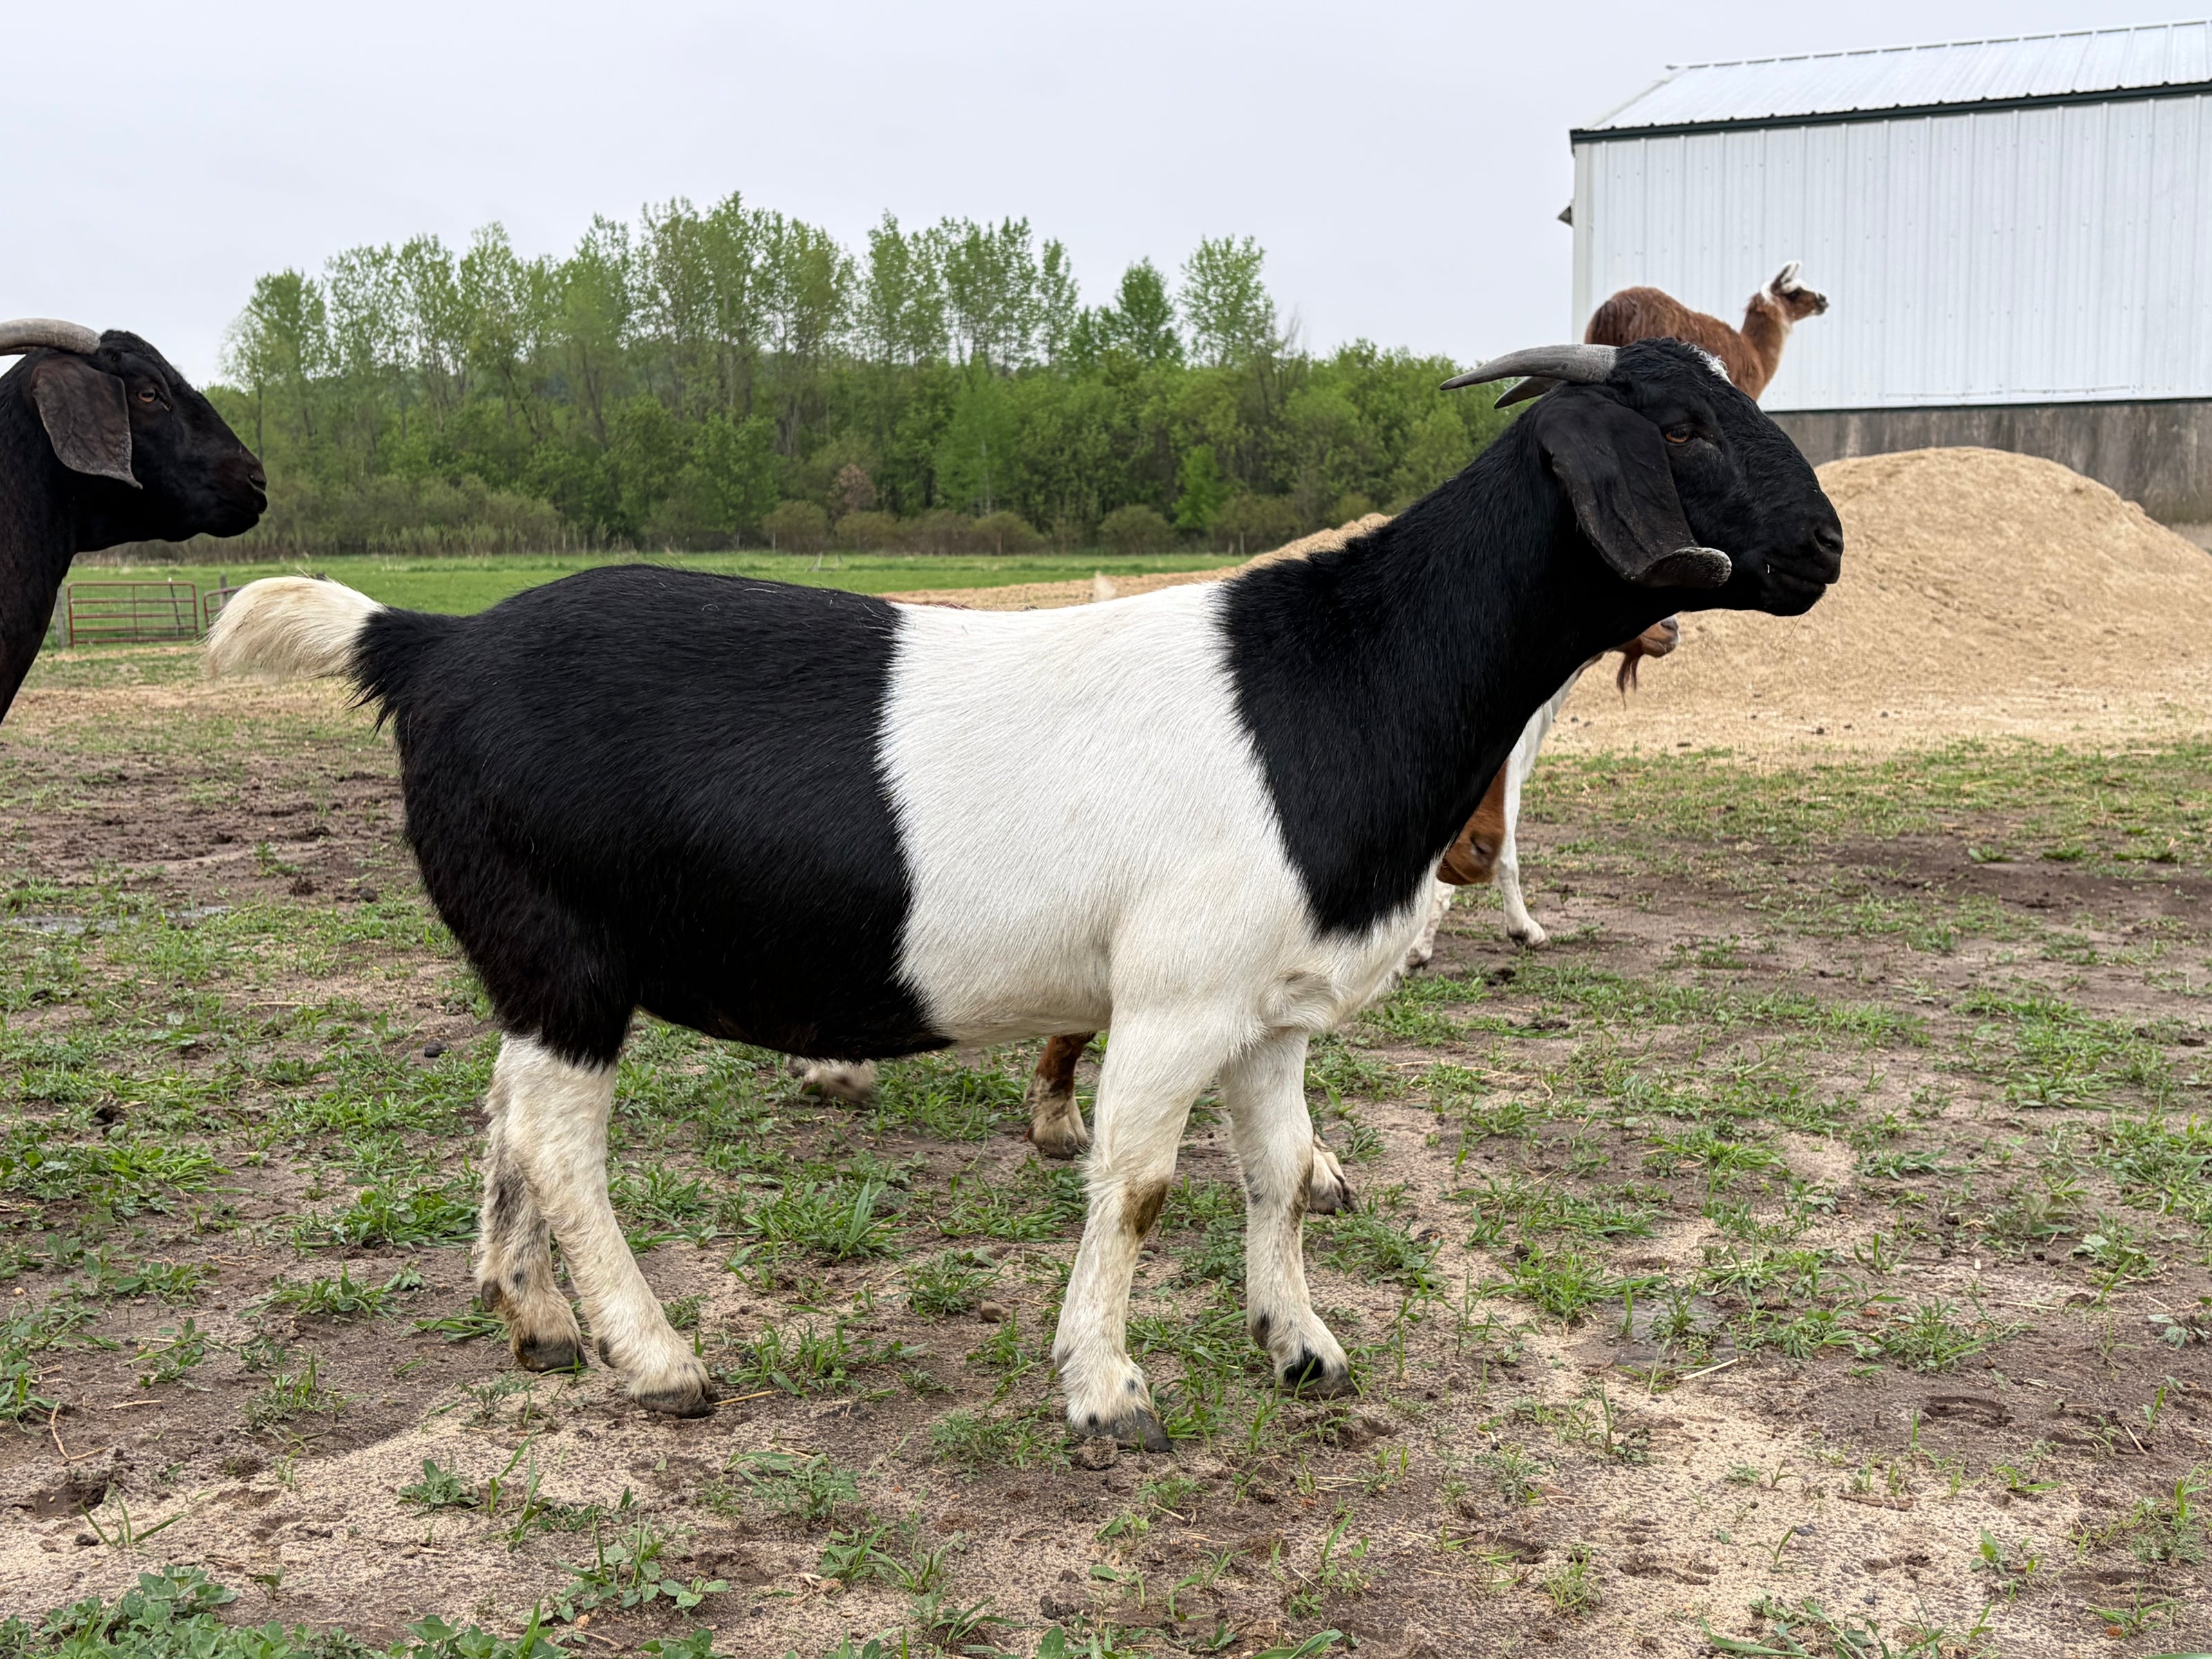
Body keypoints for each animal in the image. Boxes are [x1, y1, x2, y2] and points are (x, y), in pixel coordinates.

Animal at [206, 338, 1843, 1446]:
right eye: (1683, 425)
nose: (1826, 546)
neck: (1337, 680)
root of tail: (423, 642)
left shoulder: (1267, 1010)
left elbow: (1276, 1177)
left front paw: (1301, 1348)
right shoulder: (1174, 998)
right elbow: (1139, 1187)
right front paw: (1107, 1390)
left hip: (535, 963)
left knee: (502, 1107)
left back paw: (530, 1316)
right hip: (567, 953)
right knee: (557, 1141)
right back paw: (656, 1358)